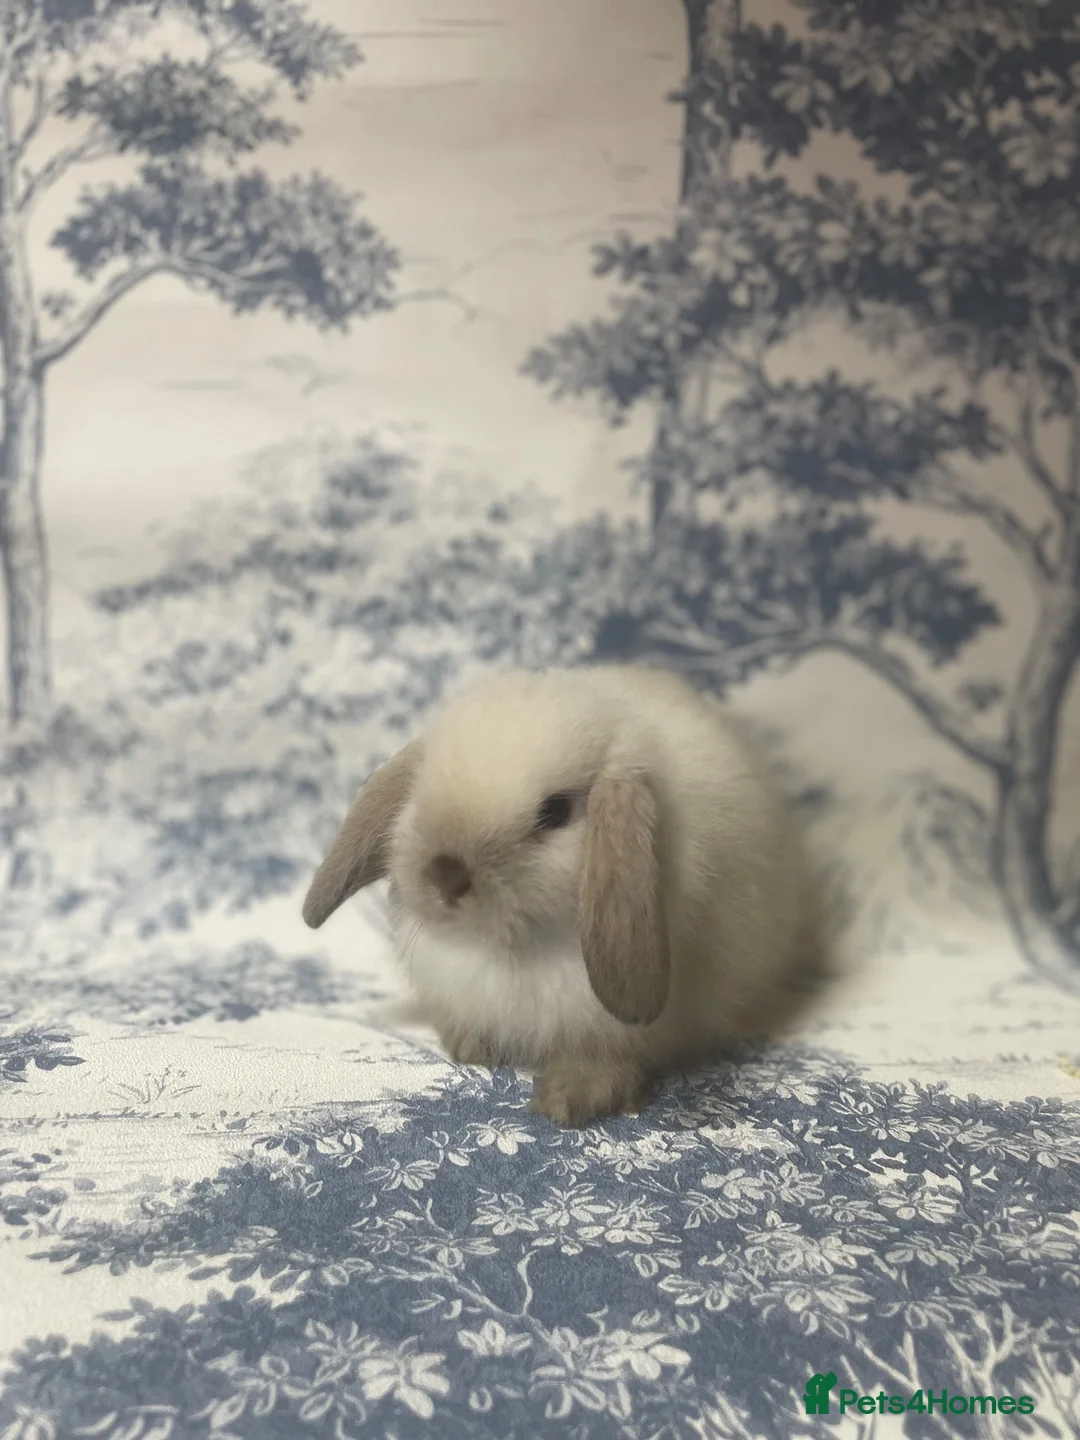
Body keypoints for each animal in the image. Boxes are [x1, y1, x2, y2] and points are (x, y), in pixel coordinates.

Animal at [302, 664, 828, 1126]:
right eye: (420, 792)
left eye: (554, 813)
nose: (446, 875)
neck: (515, 949)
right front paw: (469, 1047)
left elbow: (605, 1058)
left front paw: (569, 1099)